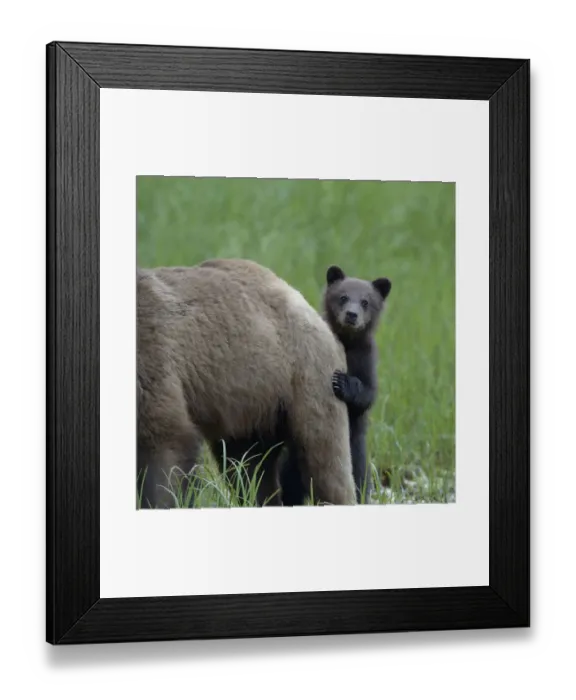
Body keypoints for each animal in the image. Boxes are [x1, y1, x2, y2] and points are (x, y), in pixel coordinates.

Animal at [136, 258, 357, 509]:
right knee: (250, 469)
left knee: (324, 459)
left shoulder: (153, 359)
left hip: (306, 375)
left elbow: (165, 445)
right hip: (250, 404)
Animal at [280, 265, 391, 506]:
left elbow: (367, 394)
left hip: (354, 454)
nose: (351, 315)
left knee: (359, 481)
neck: (347, 343)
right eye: (343, 297)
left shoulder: (365, 358)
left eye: (366, 301)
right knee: (287, 483)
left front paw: (343, 382)